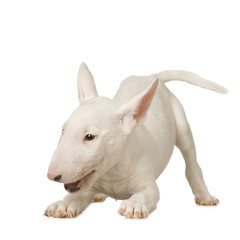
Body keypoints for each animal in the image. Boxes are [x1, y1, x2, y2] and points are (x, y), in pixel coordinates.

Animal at [45, 62, 227, 218]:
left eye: (89, 137)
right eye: (63, 130)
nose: (51, 176)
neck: (112, 173)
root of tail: (150, 76)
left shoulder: (148, 183)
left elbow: (147, 193)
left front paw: (134, 205)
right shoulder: (87, 186)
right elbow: (75, 196)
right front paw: (62, 205)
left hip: (182, 125)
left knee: (191, 160)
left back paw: (204, 195)